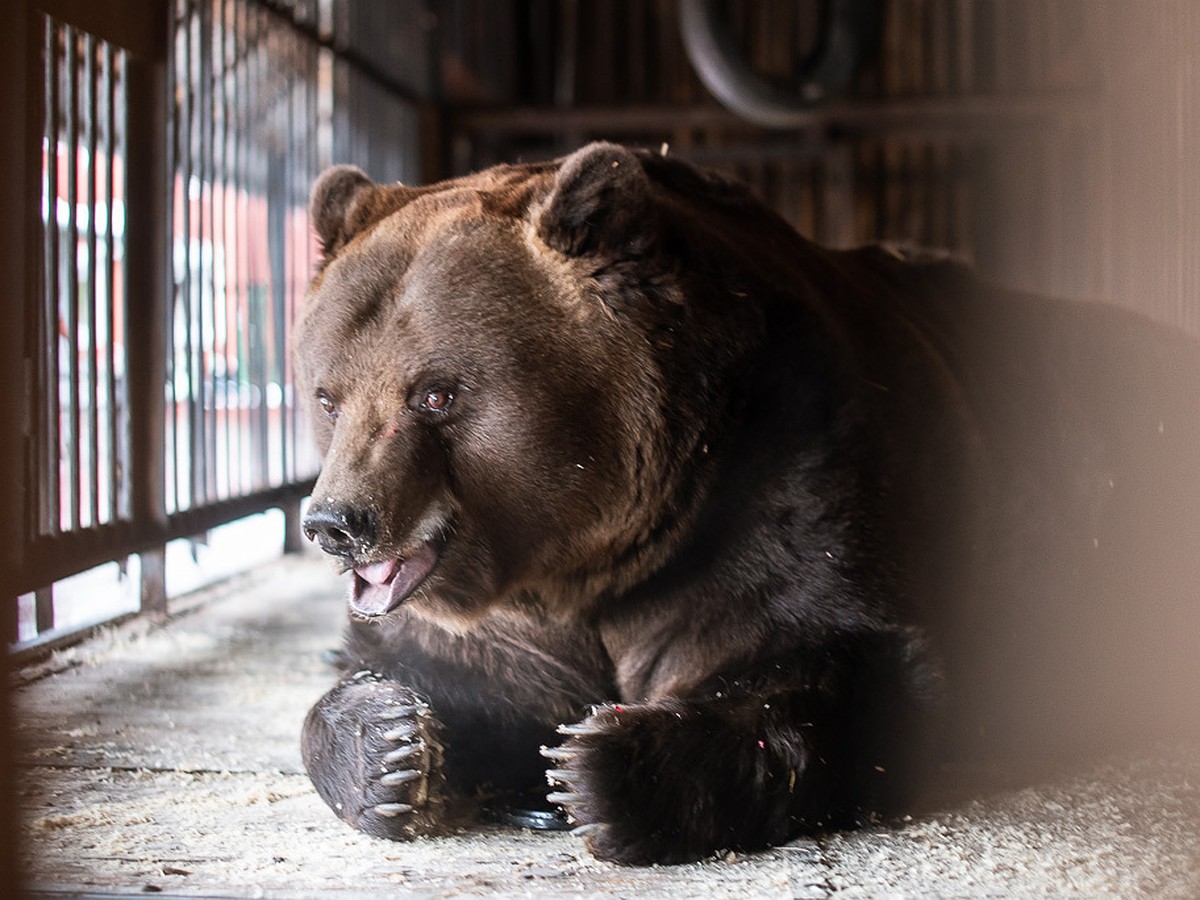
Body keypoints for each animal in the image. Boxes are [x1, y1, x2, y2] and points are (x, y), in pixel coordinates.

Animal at [295, 142, 1200, 868]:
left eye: (436, 393)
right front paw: (391, 745)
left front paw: (601, 767)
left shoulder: (782, 483)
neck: (594, 552)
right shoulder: (512, 612)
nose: (337, 522)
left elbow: (822, 662)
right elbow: (441, 672)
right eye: (329, 395)